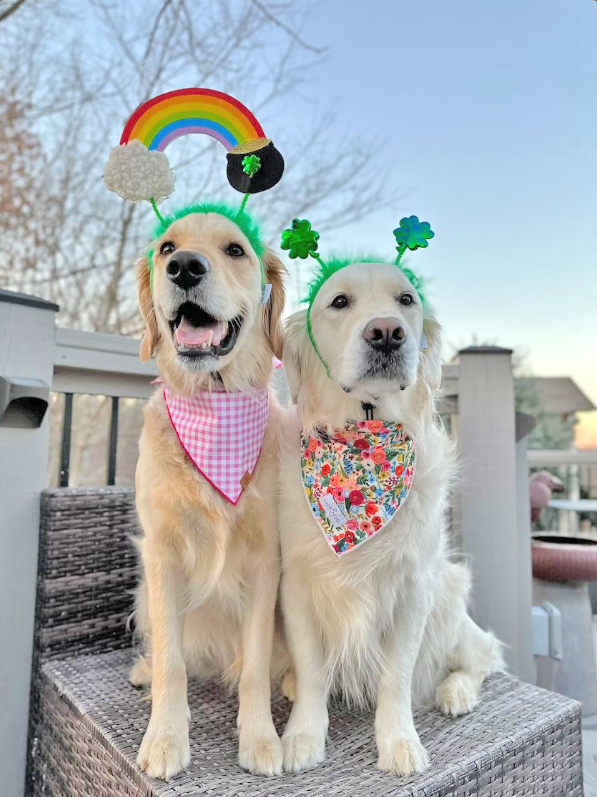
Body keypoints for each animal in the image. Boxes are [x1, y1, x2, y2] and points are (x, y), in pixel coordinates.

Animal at [130, 208, 286, 780]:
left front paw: (260, 738)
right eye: (166, 248)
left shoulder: (266, 560)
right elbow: (172, 663)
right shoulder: (161, 554)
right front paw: (165, 738)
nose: (185, 267)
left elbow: (256, 664)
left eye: (235, 250)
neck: (214, 407)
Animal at [278, 264, 500, 776]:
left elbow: (396, 676)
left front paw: (399, 742)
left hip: (449, 600)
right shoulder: (296, 585)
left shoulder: (414, 589)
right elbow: (312, 668)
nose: (386, 333)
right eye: (339, 302)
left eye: (406, 300)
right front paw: (303, 735)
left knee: (481, 654)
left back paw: (455, 691)